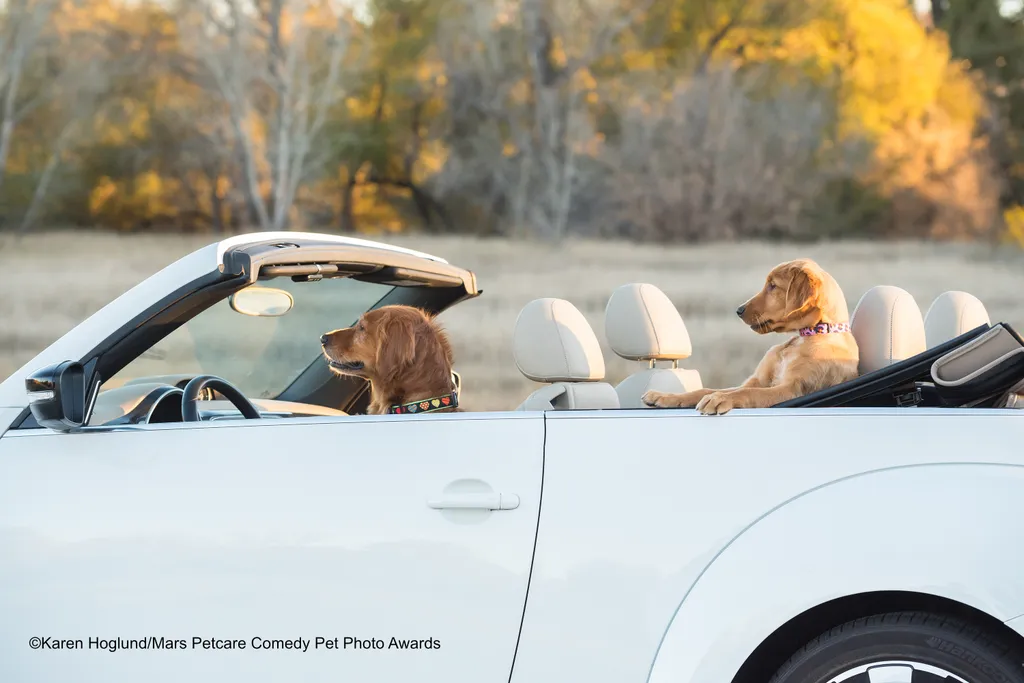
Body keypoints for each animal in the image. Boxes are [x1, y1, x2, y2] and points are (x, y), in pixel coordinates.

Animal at [643, 258, 860, 413]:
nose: (739, 310)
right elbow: (708, 390)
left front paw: (721, 399)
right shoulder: (758, 380)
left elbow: (747, 392)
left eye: (773, 285)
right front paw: (664, 396)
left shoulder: (793, 390)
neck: (806, 336)